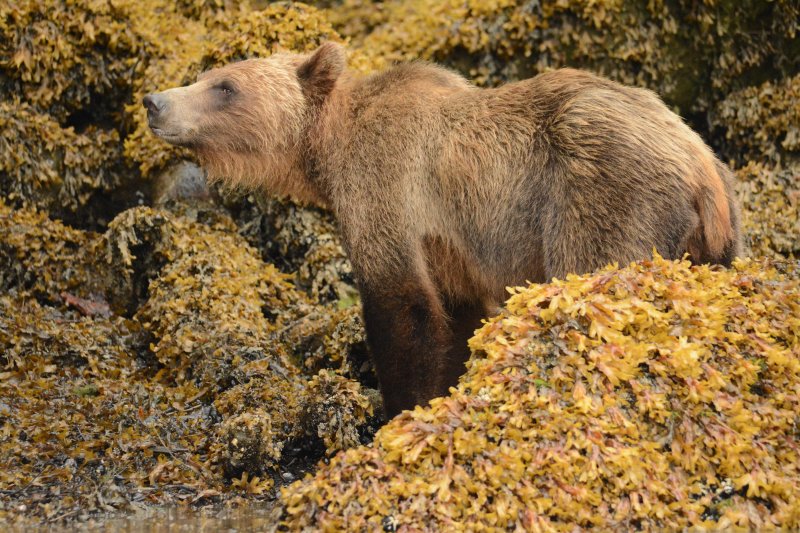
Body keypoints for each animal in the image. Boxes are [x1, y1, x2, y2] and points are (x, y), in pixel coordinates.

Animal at [142, 41, 744, 416]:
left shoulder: (387, 190)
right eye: (207, 76)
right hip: (717, 239)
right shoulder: (449, 247)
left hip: (602, 192)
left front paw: (398, 409)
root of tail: (702, 166)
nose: (154, 101)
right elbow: (454, 318)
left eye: (225, 86)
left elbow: (403, 311)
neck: (327, 153)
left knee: (594, 268)